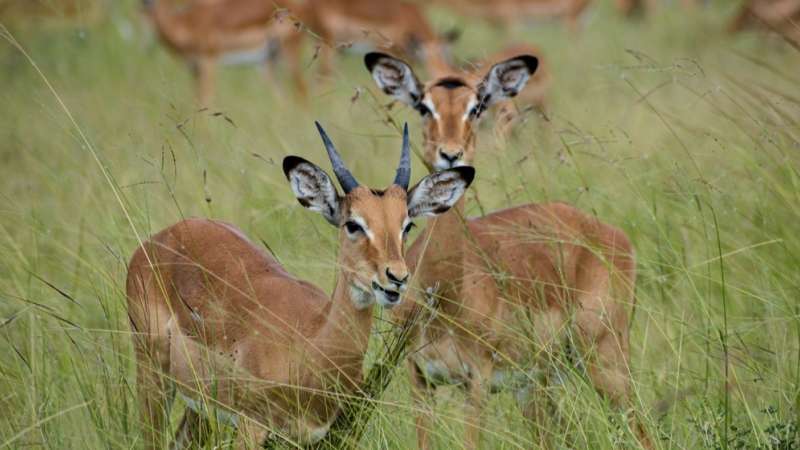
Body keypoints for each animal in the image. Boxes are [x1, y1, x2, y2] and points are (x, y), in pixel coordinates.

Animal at [126, 122, 475, 449]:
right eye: (353, 224)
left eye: (407, 225)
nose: (397, 277)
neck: (312, 340)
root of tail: (159, 239)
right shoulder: (252, 427)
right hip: (152, 375)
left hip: (199, 408)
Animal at [365, 53, 649, 448]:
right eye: (423, 105)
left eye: (476, 106)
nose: (451, 155)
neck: (446, 290)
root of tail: (615, 236)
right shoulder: (420, 380)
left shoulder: (477, 383)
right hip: (537, 384)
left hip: (606, 361)